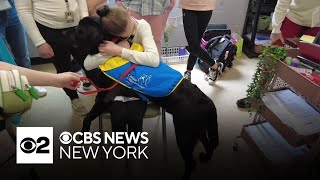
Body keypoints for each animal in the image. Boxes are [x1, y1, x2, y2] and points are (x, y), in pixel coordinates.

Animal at [68, 16, 218, 179]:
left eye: (79, 29)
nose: (64, 32)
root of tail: (207, 102)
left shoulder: (105, 96)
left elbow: (88, 116)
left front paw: (82, 134)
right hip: (198, 130)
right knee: (209, 145)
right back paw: (206, 157)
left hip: (184, 134)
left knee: (191, 162)